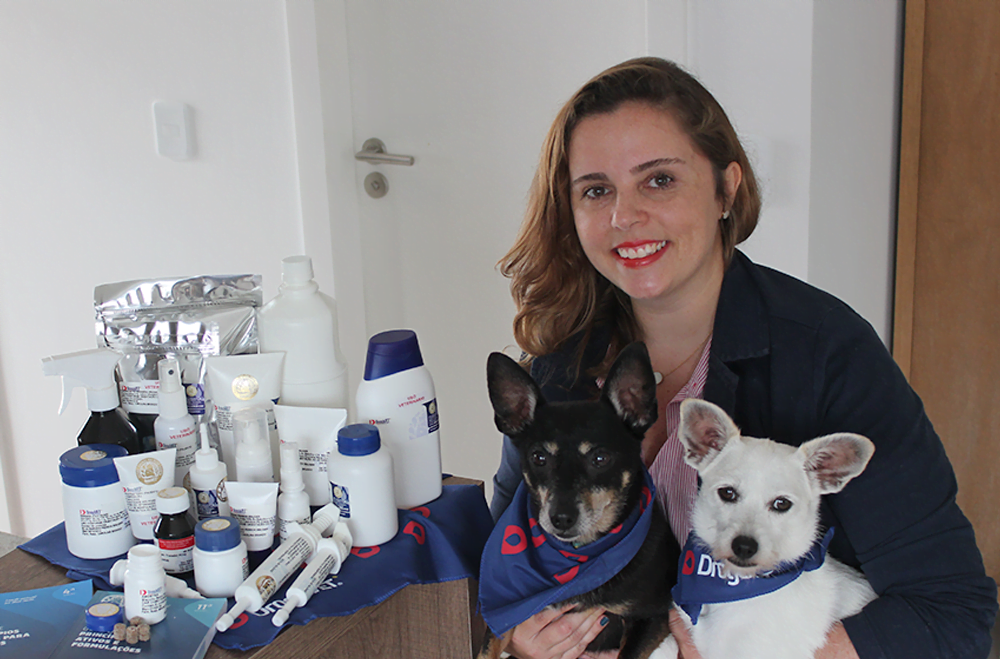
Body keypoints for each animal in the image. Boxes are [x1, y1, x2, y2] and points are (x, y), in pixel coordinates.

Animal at [478, 342, 678, 659]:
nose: (561, 518)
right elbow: (486, 649)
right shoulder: (503, 621)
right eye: (539, 457)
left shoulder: (654, 616)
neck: (579, 554)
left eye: (600, 458)